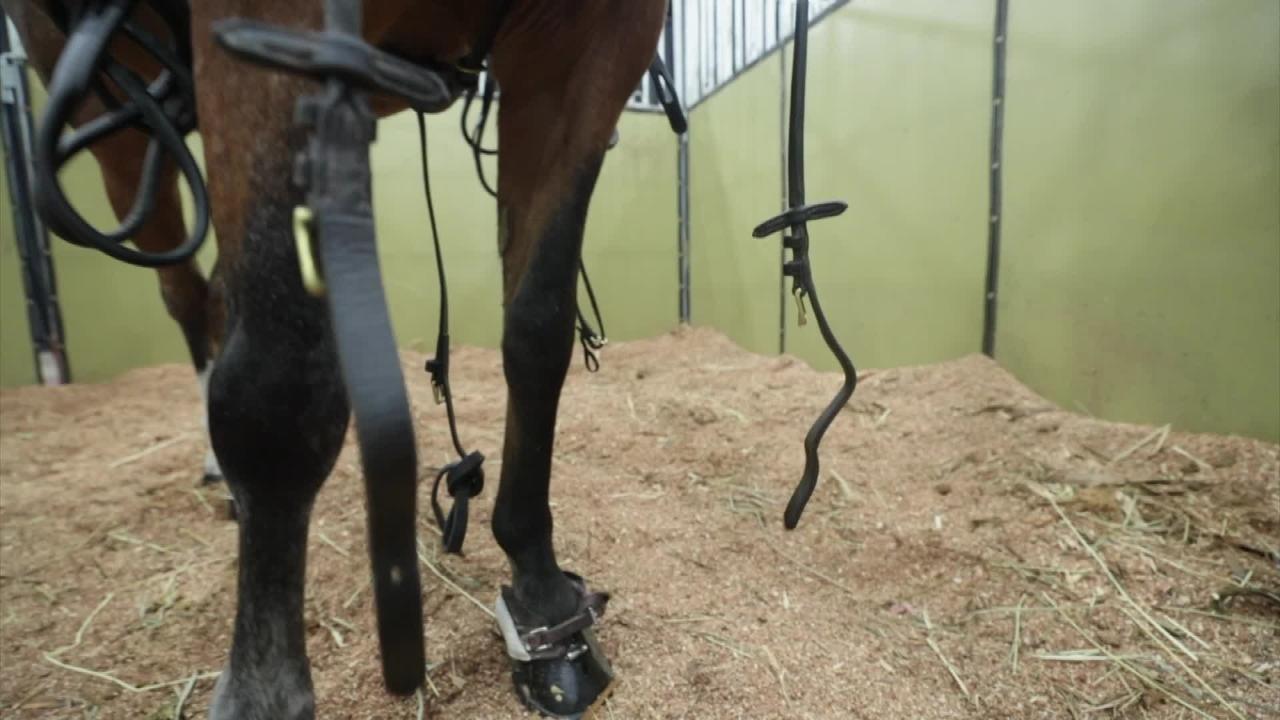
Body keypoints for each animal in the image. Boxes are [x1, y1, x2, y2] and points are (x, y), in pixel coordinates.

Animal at [5, 2, 670, 712]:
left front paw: (543, 606)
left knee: (217, 296)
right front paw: (263, 693)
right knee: (187, 297)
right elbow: (278, 379)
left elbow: (538, 331)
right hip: (121, 126)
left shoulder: (590, 43)